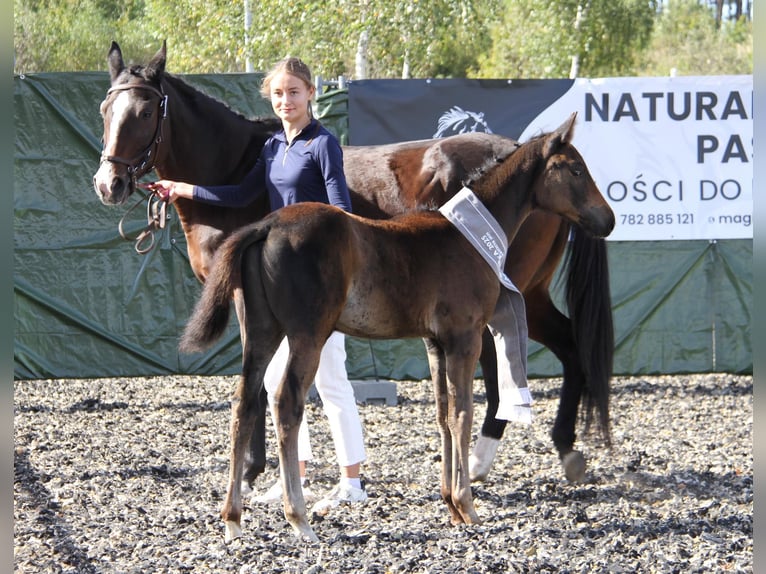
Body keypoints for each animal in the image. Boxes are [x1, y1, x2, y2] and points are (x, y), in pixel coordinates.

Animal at [93, 41, 614, 485]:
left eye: (144, 111)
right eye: (104, 110)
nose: (108, 183)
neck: (238, 168)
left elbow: (260, 382)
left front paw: (253, 470)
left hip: (510, 294)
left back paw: (485, 457)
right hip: (531, 294)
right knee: (570, 345)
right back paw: (564, 450)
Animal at [179, 114, 615, 541]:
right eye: (576, 169)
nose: (607, 220)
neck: (467, 235)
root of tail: (266, 226)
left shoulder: (435, 343)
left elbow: (442, 414)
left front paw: (450, 505)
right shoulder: (464, 338)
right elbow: (462, 414)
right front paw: (467, 505)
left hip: (261, 333)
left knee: (244, 404)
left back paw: (233, 517)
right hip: (307, 335)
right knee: (286, 402)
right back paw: (299, 517)